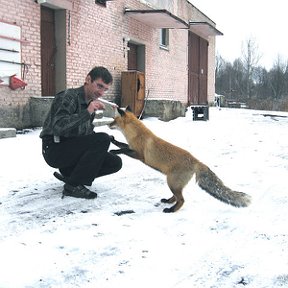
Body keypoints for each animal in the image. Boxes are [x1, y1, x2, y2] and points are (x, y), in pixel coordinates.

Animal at [109, 107, 251, 213]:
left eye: (114, 120)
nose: (108, 124)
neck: (137, 135)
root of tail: (196, 161)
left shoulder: (139, 155)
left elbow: (123, 150)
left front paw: (113, 151)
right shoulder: (131, 147)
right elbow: (121, 144)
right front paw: (111, 139)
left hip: (172, 182)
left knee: (182, 200)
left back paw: (171, 210)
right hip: (174, 183)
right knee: (177, 197)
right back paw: (168, 201)